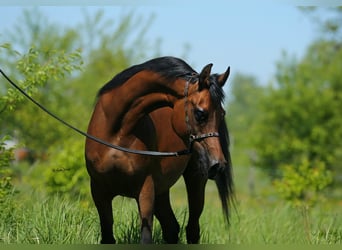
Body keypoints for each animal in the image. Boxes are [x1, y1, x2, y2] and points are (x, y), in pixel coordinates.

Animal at [85, 56, 235, 244]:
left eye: (222, 114)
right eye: (200, 113)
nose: (218, 165)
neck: (116, 131)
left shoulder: (146, 191)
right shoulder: (99, 192)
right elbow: (107, 236)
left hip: (195, 180)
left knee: (192, 228)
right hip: (162, 190)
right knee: (171, 228)